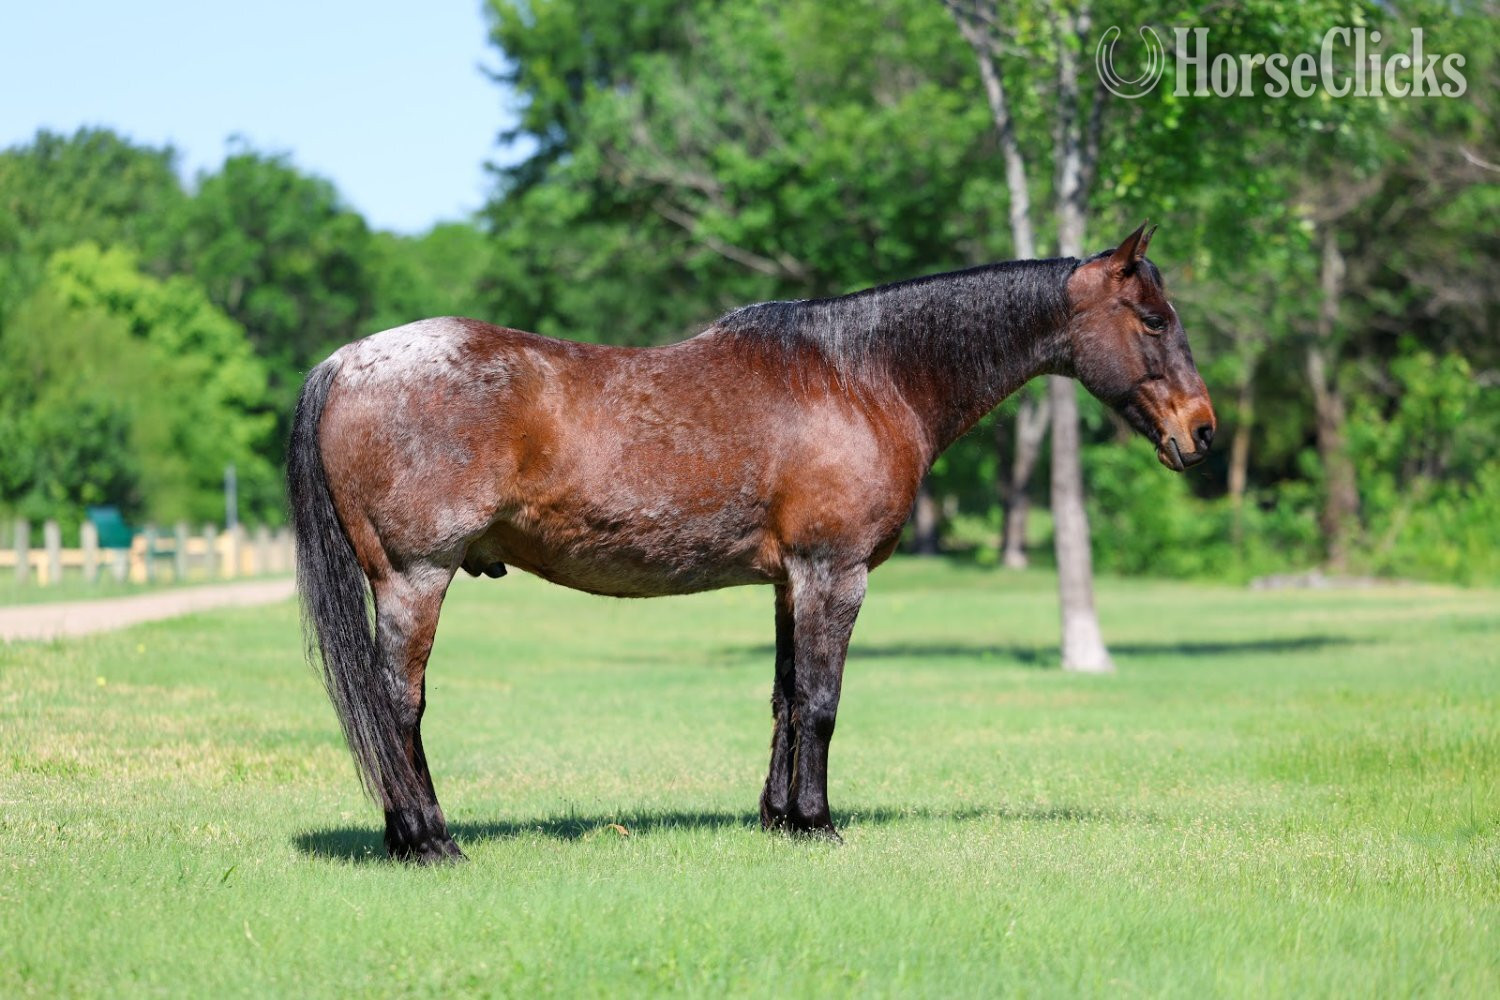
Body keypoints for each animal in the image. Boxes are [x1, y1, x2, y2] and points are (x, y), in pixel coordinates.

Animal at [287, 222, 1215, 863]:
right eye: (1152, 319)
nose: (1202, 431)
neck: (863, 376)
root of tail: (348, 360)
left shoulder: (789, 581)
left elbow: (784, 698)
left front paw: (778, 821)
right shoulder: (835, 574)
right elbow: (823, 702)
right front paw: (818, 823)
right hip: (416, 578)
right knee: (396, 703)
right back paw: (428, 840)